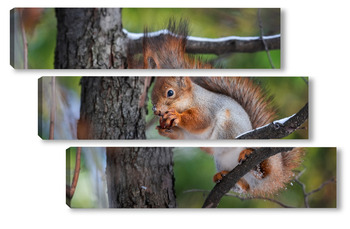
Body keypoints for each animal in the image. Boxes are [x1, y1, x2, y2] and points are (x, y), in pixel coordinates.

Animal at [141, 20, 302, 195]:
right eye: (151, 95)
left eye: (170, 93)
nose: (156, 110)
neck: (190, 100)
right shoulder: (187, 135)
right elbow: (182, 135)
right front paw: (164, 129)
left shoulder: (207, 107)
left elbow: (200, 121)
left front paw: (176, 117)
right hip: (225, 163)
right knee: (245, 186)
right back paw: (225, 176)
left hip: (229, 126)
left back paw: (246, 156)